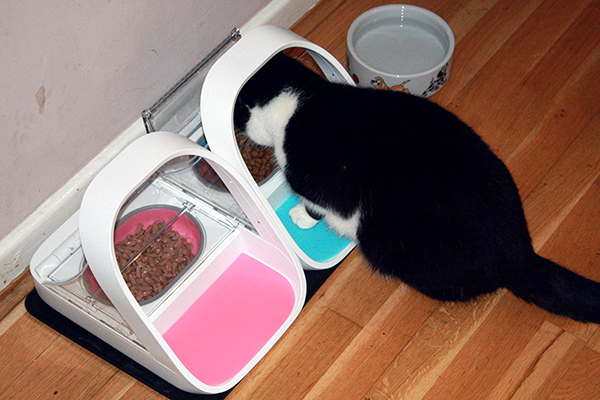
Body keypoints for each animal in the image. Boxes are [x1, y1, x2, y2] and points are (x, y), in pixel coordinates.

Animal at [233, 51, 600, 324]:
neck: (302, 100)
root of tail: (523, 255)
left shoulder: (321, 182)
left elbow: (317, 205)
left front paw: (300, 216)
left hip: (392, 244)